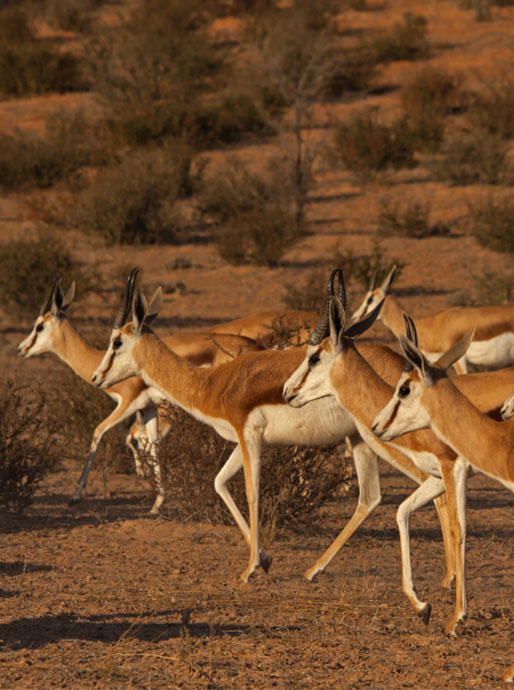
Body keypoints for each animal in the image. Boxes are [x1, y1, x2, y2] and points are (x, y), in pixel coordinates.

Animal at [18, 274, 262, 510]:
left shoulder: (128, 403)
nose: (21, 349)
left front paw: (76, 496)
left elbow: (98, 431)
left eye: (39, 326)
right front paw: (158, 503)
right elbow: (153, 444)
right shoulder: (150, 407)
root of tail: (257, 348)